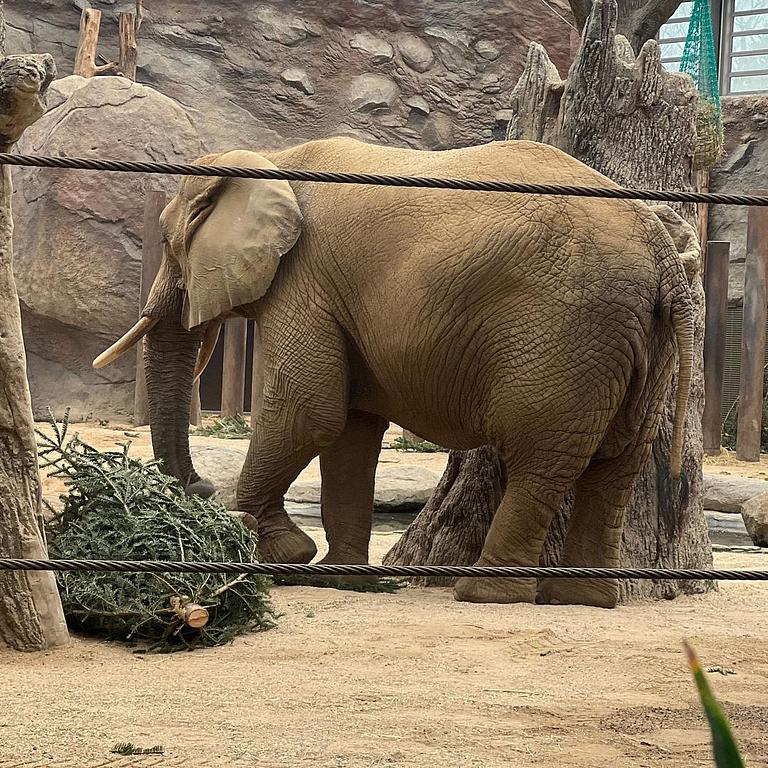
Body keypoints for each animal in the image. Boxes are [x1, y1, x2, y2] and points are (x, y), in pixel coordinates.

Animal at [94, 136, 693, 607]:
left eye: (167, 243)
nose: (198, 485)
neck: (272, 156)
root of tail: (661, 250)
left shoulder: (304, 281)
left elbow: (308, 411)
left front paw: (283, 555)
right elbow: (349, 430)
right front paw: (339, 579)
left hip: (569, 332)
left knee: (539, 459)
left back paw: (484, 593)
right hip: (638, 341)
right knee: (619, 462)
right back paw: (585, 598)